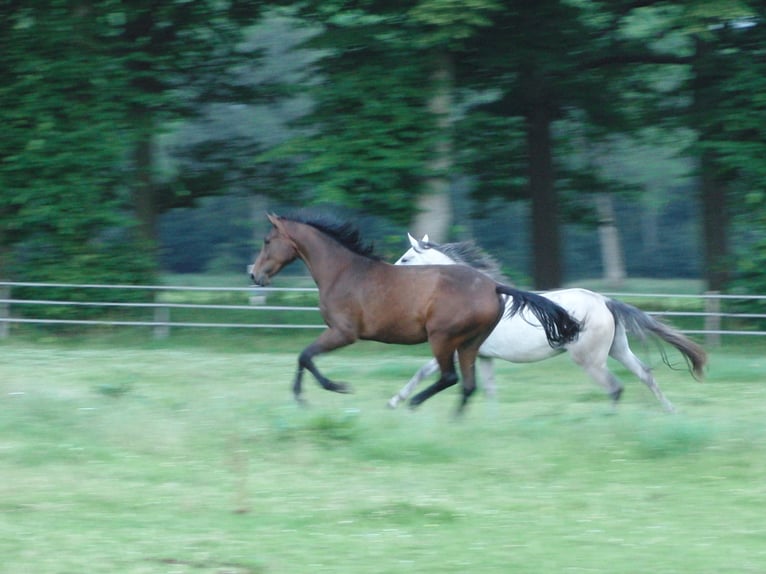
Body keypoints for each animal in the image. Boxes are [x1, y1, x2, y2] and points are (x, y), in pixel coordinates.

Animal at [250, 214, 584, 416]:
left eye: (267, 241)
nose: (254, 275)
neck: (343, 272)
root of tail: (493, 286)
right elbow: (304, 357)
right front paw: (305, 395)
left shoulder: (343, 333)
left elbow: (305, 356)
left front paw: (329, 390)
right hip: (470, 344)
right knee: (467, 385)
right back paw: (452, 422)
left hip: (443, 339)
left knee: (450, 377)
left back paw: (414, 404)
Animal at [392, 234, 712, 414]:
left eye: (406, 258)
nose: (391, 278)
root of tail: (605, 301)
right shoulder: (481, 355)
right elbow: (489, 389)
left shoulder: (457, 348)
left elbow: (425, 372)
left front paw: (395, 402)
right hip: (618, 350)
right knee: (645, 375)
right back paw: (670, 410)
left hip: (590, 361)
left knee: (615, 387)